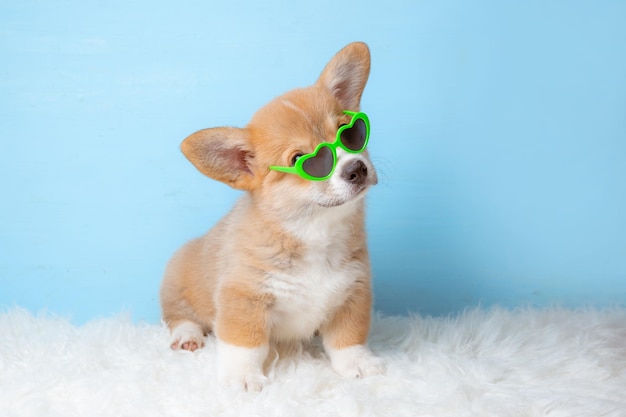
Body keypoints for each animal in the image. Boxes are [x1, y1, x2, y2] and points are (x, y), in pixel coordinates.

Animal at [161, 42, 382, 390]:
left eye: (351, 134)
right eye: (304, 160)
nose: (357, 168)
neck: (314, 229)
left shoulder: (353, 293)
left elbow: (348, 338)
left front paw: (357, 362)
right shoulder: (243, 299)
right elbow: (245, 345)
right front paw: (243, 377)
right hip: (177, 283)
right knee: (179, 316)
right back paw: (187, 336)